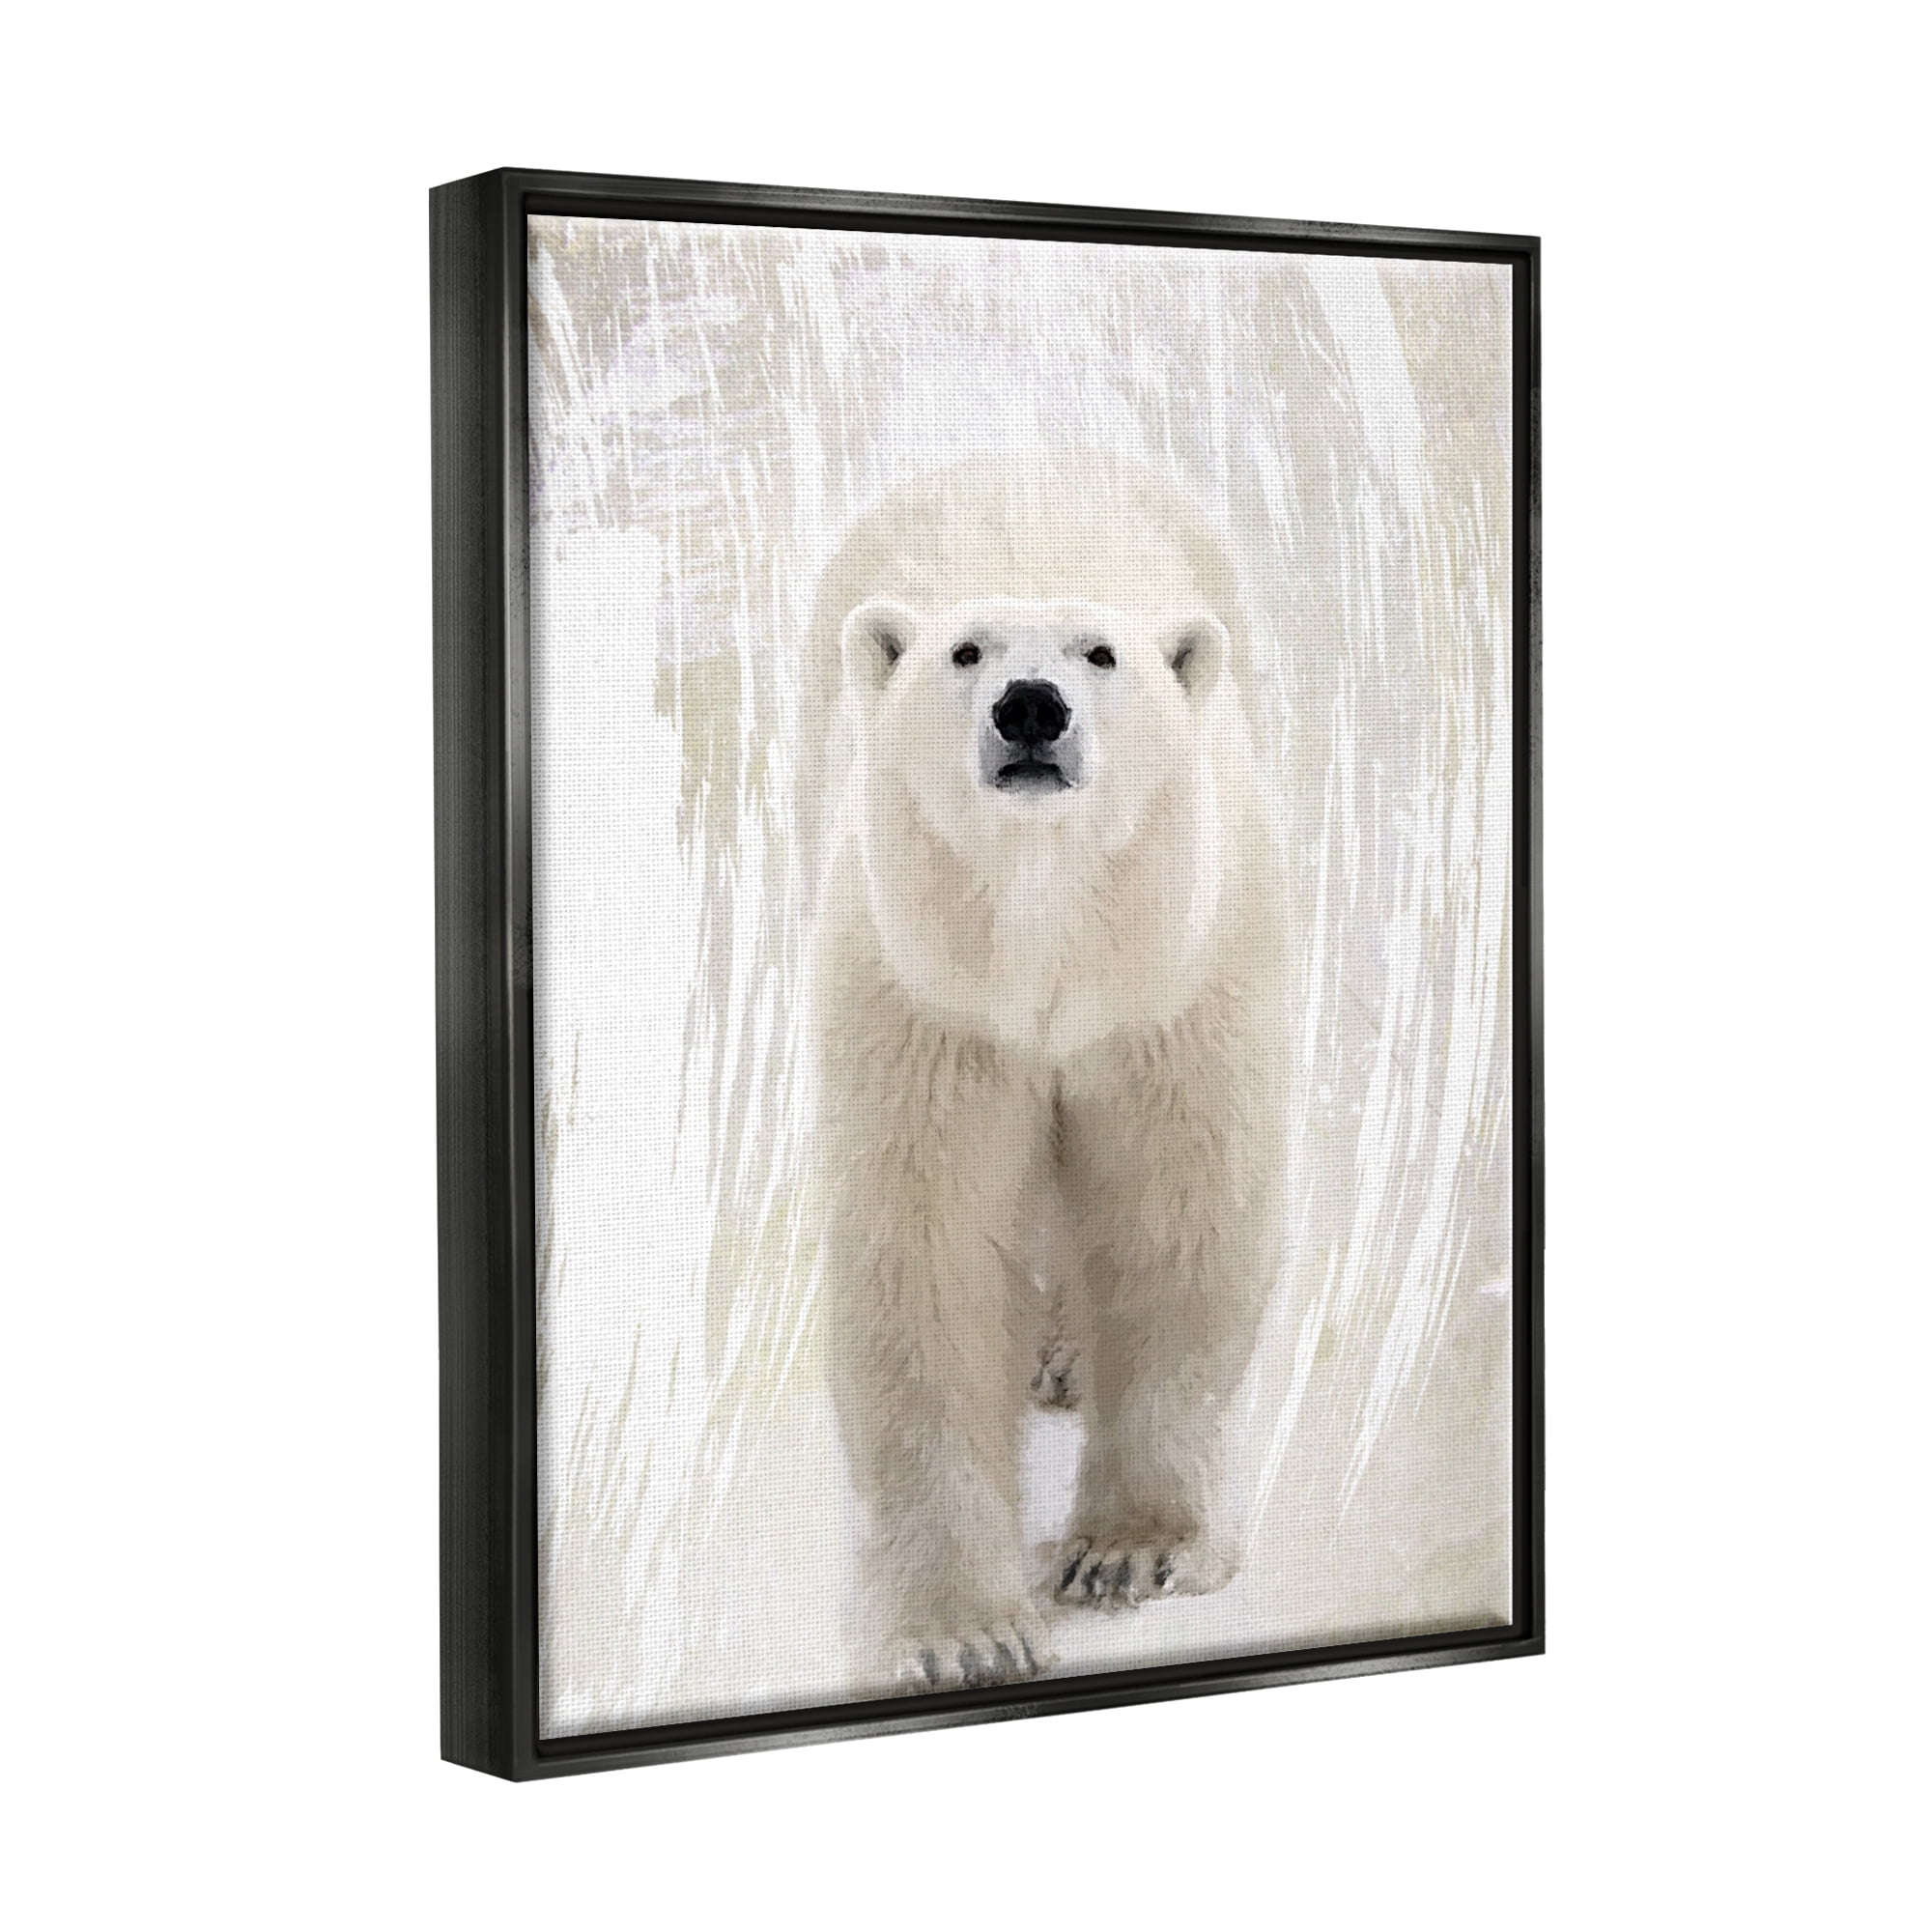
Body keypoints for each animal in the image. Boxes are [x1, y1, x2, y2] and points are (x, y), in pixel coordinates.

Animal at [803, 451, 1292, 1695]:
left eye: (1102, 653)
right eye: (963, 650)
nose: (1030, 705)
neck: (1046, 934)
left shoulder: (1170, 986)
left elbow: (1171, 1211)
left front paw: (1130, 1552)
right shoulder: (928, 1000)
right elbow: (927, 1248)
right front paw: (960, 1631)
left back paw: (1068, 1352)